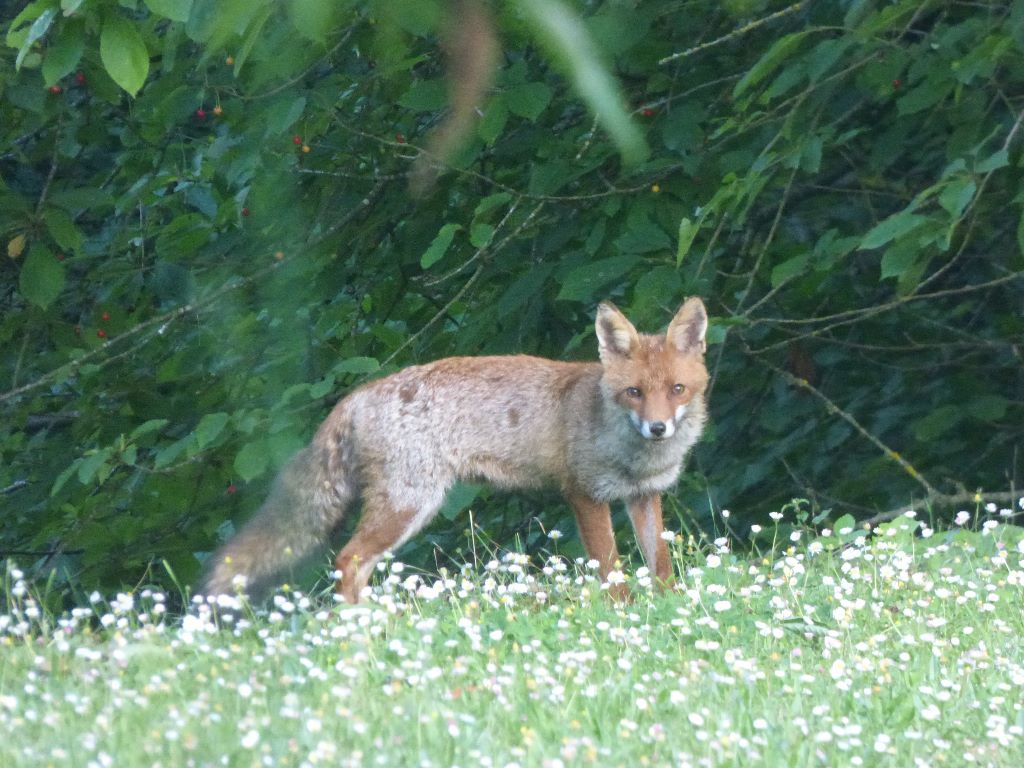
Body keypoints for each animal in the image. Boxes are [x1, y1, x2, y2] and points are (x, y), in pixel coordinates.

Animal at [202, 296, 708, 606]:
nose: (658, 428)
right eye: (634, 392)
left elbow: (659, 562)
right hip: (409, 505)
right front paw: (623, 613)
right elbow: (611, 568)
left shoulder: (644, 496)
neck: (633, 454)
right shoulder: (583, 493)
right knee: (347, 560)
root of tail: (358, 395)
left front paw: (670, 605)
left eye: (676, 390)